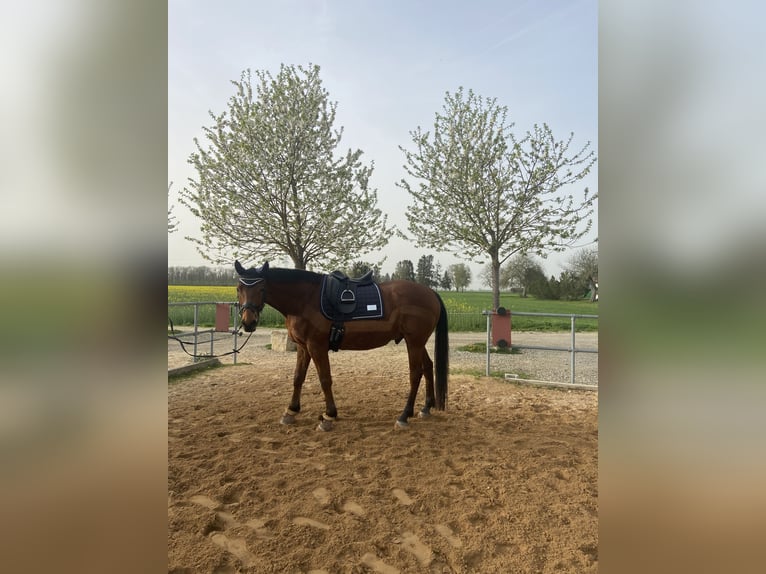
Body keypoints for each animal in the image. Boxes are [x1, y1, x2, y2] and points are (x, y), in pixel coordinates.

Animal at [234, 260, 448, 431]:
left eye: (261, 289)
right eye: (239, 289)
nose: (248, 322)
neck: (305, 299)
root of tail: (430, 292)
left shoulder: (317, 347)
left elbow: (325, 379)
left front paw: (329, 416)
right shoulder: (303, 347)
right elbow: (298, 378)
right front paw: (291, 411)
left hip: (414, 342)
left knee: (415, 374)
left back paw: (404, 416)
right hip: (417, 342)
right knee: (428, 367)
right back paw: (426, 408)